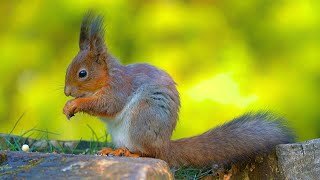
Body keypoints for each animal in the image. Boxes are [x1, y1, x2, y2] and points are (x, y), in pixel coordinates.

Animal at [62, 11, 296, 168]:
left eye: (82, 73)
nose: (66, 91)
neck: (108, 75)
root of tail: (165, 145)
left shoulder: (119, 87)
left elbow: (108, 104)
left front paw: (75, 104)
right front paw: (68, 105)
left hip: (142, 119)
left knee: (150, 154)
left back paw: (130, 154)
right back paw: (113, 150)